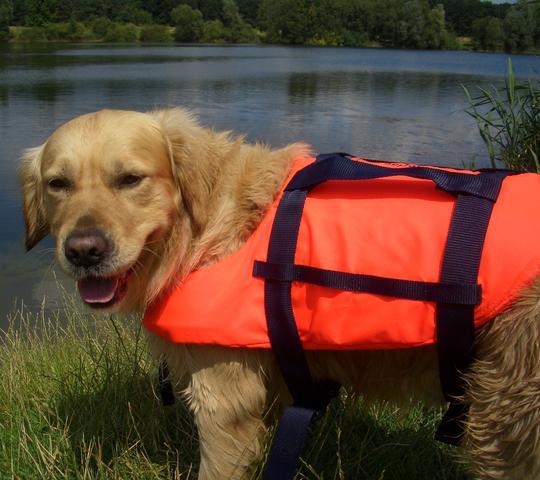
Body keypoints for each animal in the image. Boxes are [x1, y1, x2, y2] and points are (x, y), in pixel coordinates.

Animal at [19, 109, 540, 480]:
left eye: (130, 179)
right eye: (57, 184)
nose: (83, 250)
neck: (205, 230)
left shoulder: (223, 402)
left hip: (505, 415)